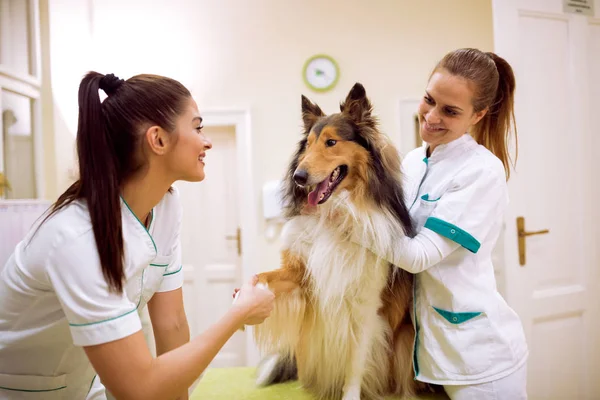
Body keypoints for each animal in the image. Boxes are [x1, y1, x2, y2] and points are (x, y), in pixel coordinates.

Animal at [253, 83, 426, 398]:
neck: (333, 211)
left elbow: (355, 364)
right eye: (307, 145)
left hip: (406, 338)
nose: (298, 177)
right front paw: (250, 292)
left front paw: (350, 394)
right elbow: (268, 276)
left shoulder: (365, 305)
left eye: (331, 142)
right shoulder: (301, 275)